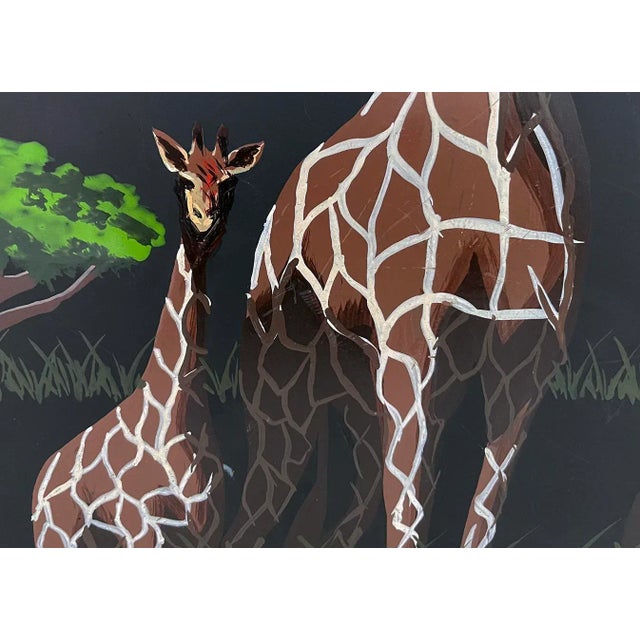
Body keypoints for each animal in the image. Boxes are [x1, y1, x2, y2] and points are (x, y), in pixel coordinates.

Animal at [31, 123, 264, 547]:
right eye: (183, 179)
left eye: (229, 183)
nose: (204, 221)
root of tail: (39, 480)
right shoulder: (140, 526)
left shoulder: (209, 525)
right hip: (56, 535)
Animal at [225, 92, 589, 548]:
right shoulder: (407, 340)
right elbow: (406, 511)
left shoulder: (528, 350)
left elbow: (484, 511)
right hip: (282, 389)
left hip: (368, 396)